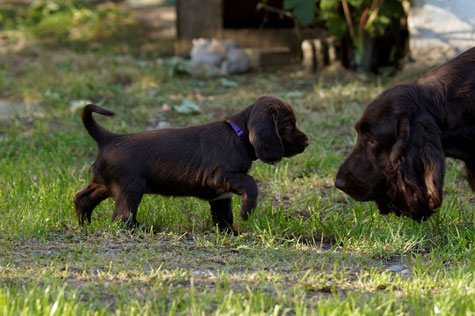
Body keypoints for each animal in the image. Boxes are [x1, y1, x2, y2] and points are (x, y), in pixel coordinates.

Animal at [74, 95, 308, 232]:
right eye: (289, 126)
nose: (307, 142)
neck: (237, 135)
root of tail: (109, 138)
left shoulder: (221, 194)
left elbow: (224, 216)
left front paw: (229, 233)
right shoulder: (221, 176)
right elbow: (251, 184)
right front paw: (247, 212)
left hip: (105, 184)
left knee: (82, 198)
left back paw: (83, 224)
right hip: (130, 188)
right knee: (121, 216)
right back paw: (138, 229)